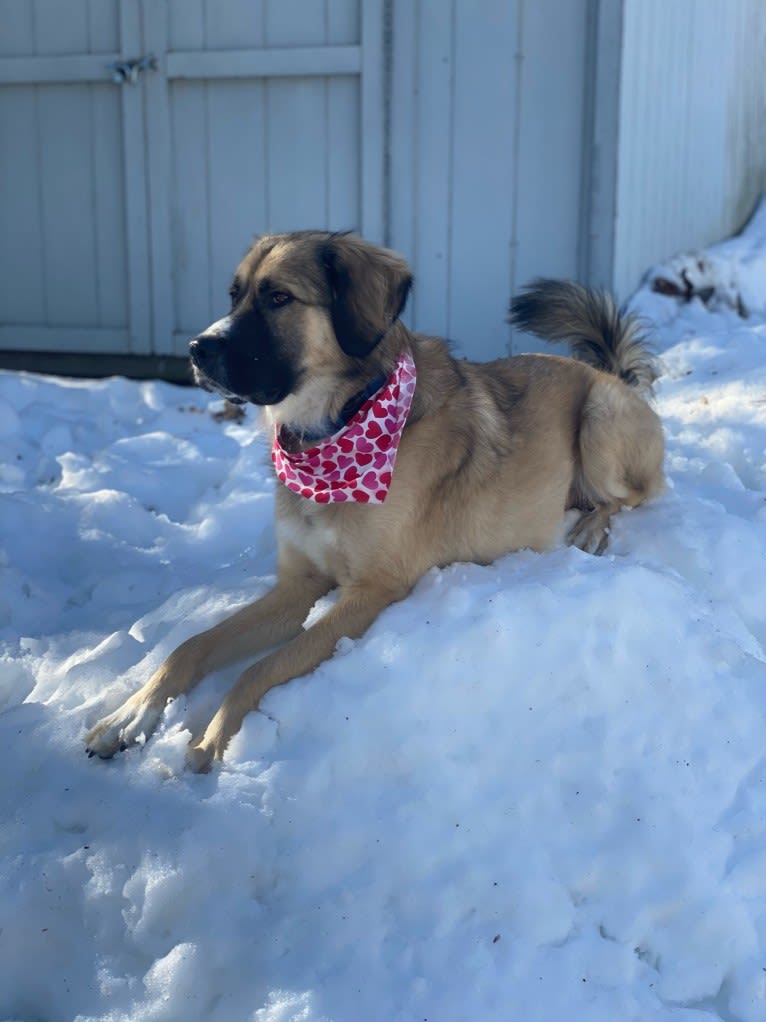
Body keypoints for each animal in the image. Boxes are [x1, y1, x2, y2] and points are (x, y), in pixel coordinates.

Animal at [86, 229, 665, 768]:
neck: (337, 427)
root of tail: (610, 374)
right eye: (234, 294)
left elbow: (262, 666)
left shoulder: (373, 590)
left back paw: (590, 527)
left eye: (279, 297)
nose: (196, 350)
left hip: (599, 422)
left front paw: (212, 736)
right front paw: (132, 714)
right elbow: (191, 645)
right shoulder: (299, 584)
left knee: (635, 496)